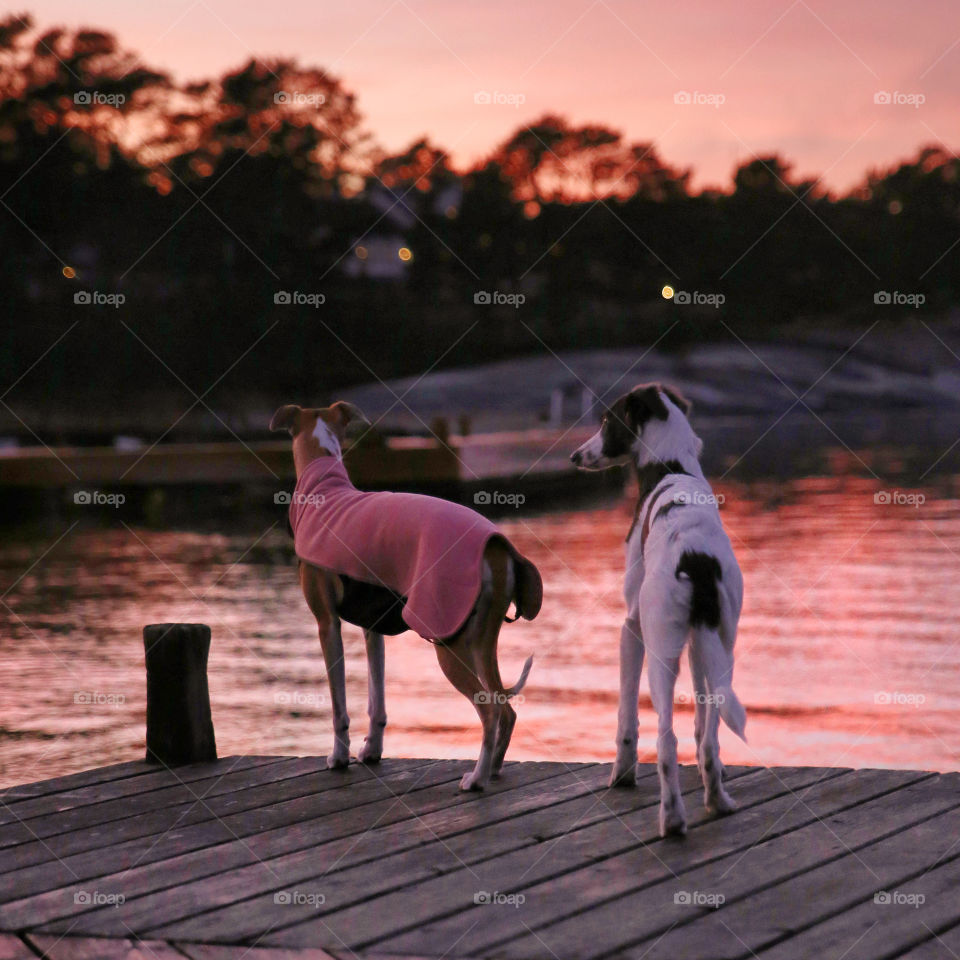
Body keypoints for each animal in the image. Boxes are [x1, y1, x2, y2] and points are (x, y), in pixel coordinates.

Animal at [272, 402, 540, 792]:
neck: (326, 490)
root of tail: (494, 546)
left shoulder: (327, 623)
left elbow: (339, 706)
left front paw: (339, 757)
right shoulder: (373, 629)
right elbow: (377, 701)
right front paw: (371, 750)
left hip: (448, 638)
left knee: (490, 709)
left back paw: (475, 779)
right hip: (481, 639)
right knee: (505, 708)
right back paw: (491, 770)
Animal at [572, 386, 748, 836]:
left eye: (605, 420)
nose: (574, 456)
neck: (672, 467)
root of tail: (696, 560)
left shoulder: (631, 629)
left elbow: (626, 718)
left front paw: (621, 774)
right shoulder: (699, 644)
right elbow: (703, 729)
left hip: (660, 655)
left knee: (666, 742)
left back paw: (671, 819)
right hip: (720, 649)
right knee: (708, 739)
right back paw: (717, 802)